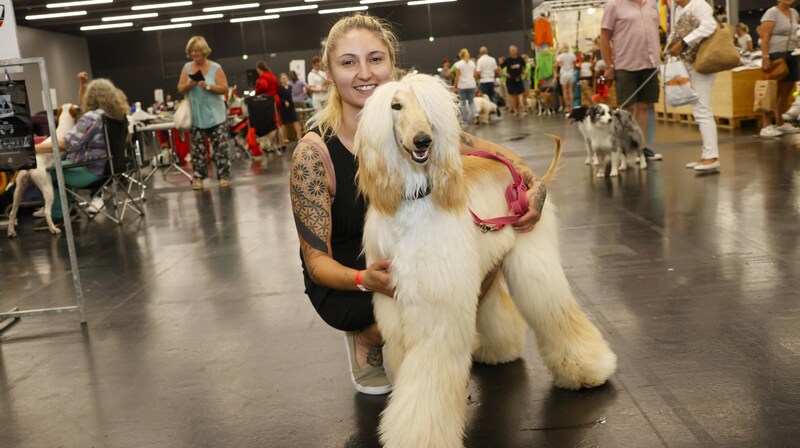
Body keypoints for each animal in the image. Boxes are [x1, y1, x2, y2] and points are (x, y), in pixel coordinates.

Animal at [6, 102, 79, 238]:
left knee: (13, 213)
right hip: (48, 189)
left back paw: (11, 231)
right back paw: (53, 229)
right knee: (46, 211)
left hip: (18, 192)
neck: (64, 124)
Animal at [354, 73, 616, 448]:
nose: (423, 140)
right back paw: (498, 350)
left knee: (554, 308)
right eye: (396, 105)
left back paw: (587, 368)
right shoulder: (394, 304)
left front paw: (419, 435)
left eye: (428, 109)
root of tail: (520, 172)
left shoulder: (436, 304)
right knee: (494, 302)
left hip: (531, 259)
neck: (413, 200)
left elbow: (427, 379)